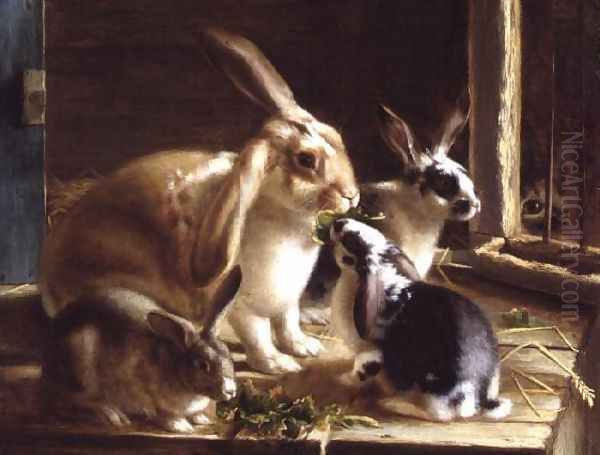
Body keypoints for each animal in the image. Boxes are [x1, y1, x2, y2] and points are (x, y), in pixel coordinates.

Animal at [39, 30, 358, 376]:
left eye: (337, 137)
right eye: (306, 159)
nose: (352, 194)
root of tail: (47, 280)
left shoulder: (285, 301)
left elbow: (287, 324)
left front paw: (304, 347)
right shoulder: (244, 307)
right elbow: (258, 335)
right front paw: (278, 364)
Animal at [41, 266, 243, 432]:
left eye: (229, 357)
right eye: (202, 365)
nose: (231, 391)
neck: (173, 366)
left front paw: (201, 419)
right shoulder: (145, 393)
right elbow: (161, 414)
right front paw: (181, 426)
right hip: (79, 361)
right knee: (72, 401)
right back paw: (111, 414)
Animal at [328, 219, 510, 422]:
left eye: (351, 241)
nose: (338, 222)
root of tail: (480, 396)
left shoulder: (371, 353)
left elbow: (360, 370)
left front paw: (343, 380)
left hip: (433, 389)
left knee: (440, 415)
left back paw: (394, 404)